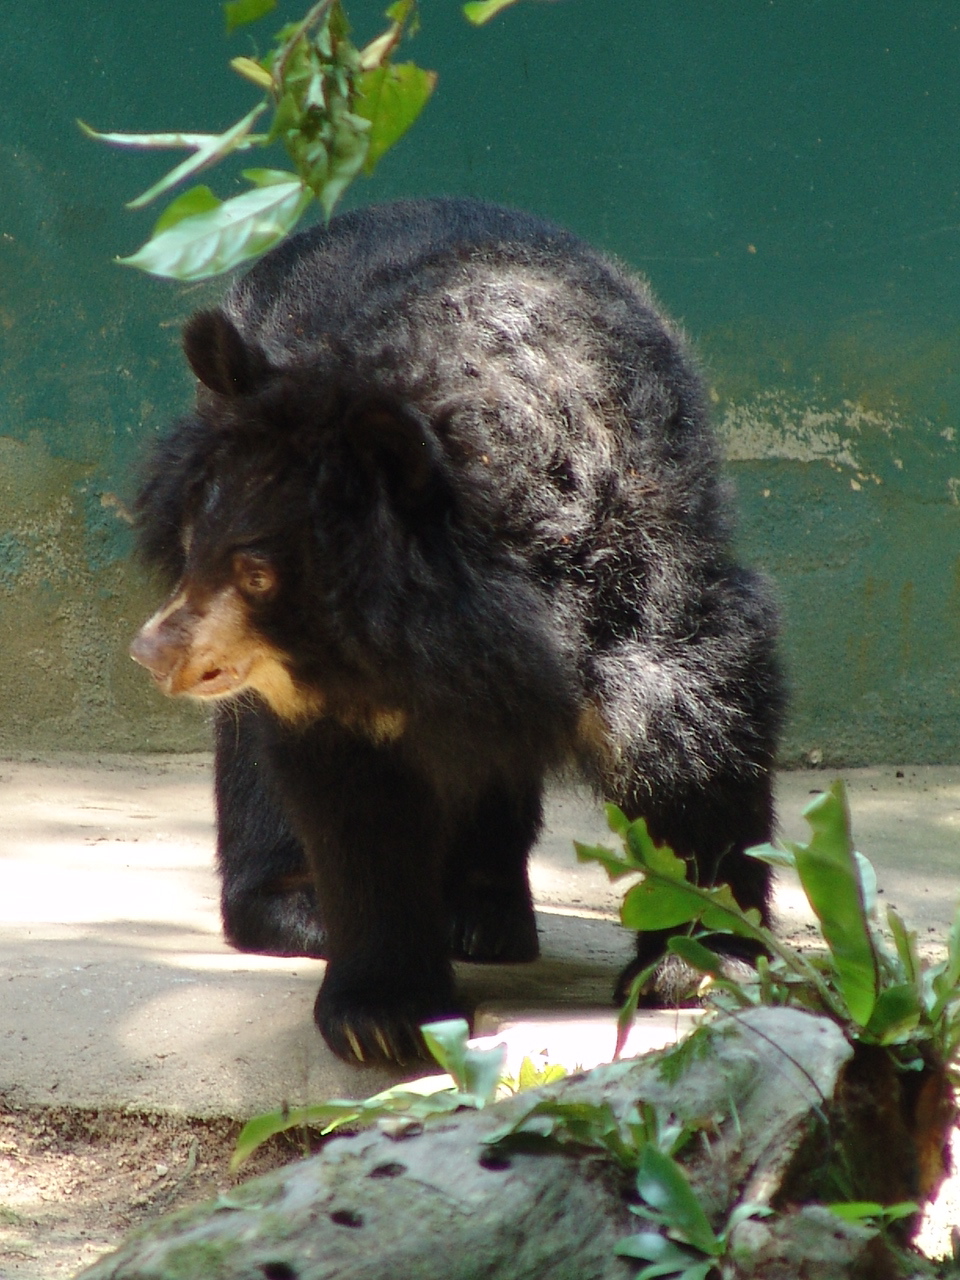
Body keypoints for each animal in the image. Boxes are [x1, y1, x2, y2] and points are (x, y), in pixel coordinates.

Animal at [129, 196, 784, 1065]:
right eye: (194, 541)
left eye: (257, 573)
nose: (152, 653)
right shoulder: (336, 685)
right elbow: (359, 808)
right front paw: (380, 1016)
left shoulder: (651, 573)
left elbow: (694, 730)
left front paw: (701, 962)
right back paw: (298, 908)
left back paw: (486, 914)